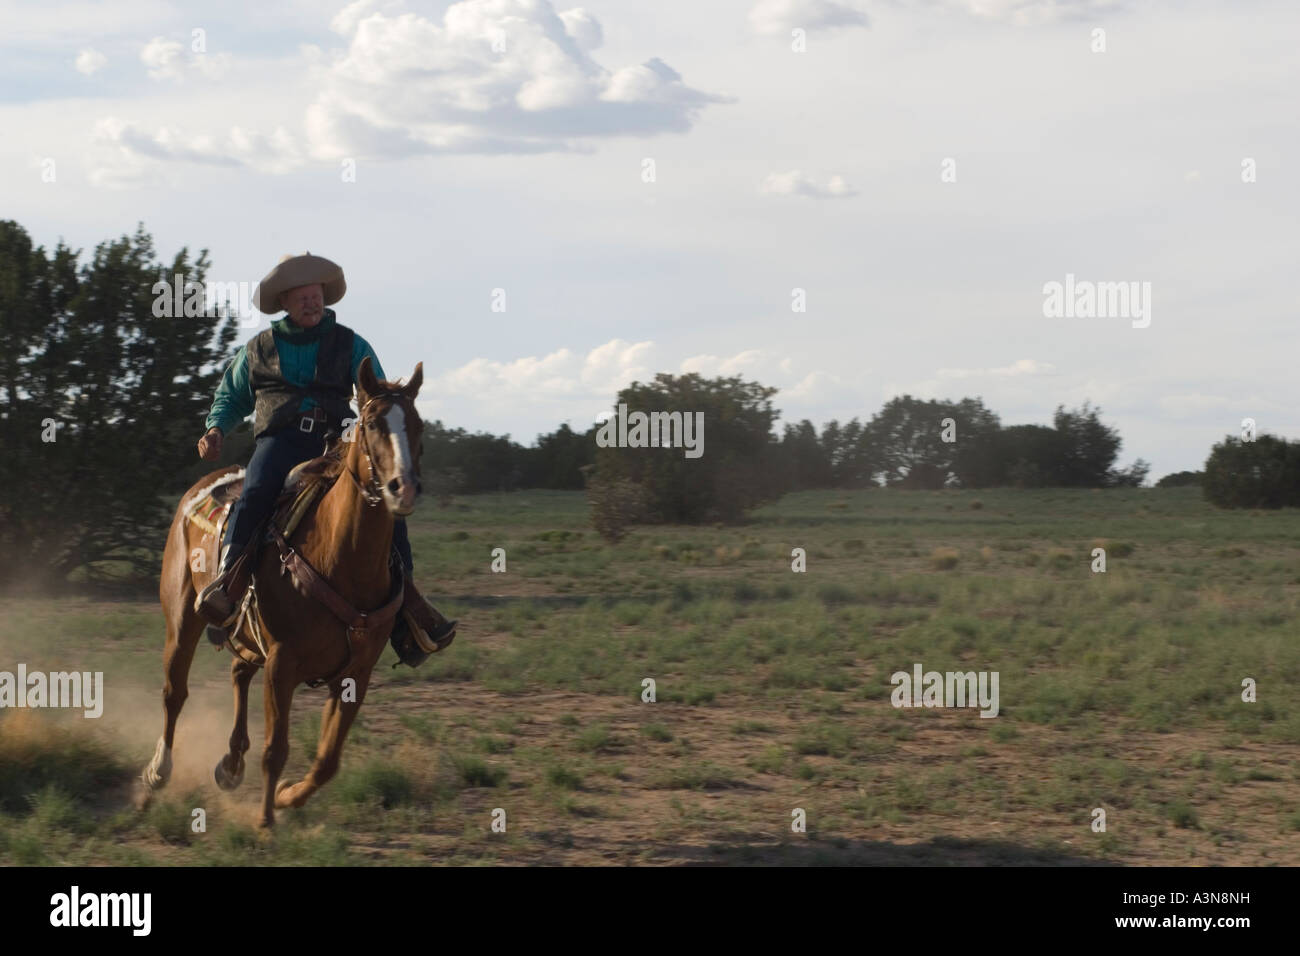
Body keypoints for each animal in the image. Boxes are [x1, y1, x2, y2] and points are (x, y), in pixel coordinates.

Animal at [142, 358, 426, 832]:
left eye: (418, 425)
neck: (340, 558)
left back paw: (230, 764)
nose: (401, 488)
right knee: (173, 692)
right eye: (371, 423)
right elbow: (276, 747)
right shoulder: (282, 663)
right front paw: (265, 820)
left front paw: (288, 796)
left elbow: (328, 761)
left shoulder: (357, 673)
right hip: (182, 618)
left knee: (238, 672)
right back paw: (157, 774)